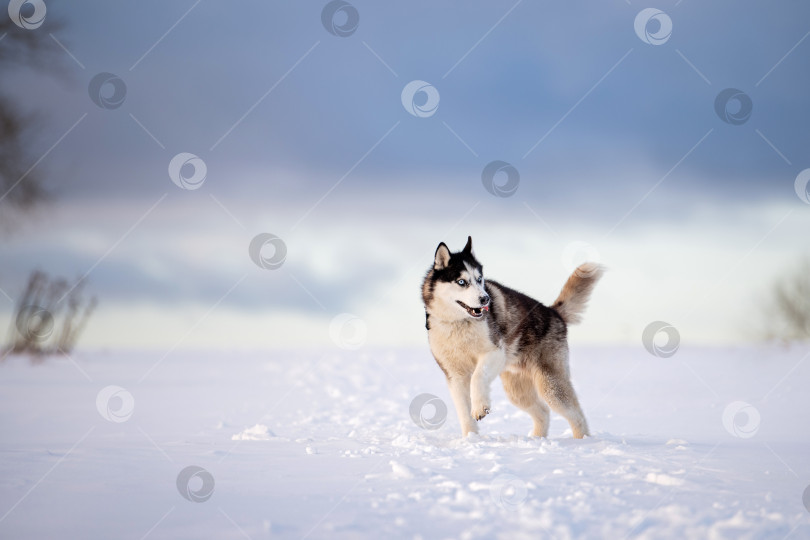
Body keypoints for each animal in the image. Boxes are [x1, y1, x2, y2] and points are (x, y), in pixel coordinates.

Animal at [422, 236, 600, 438]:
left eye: (479, 279)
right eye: (461, 282)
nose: (485, 299)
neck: (459, 323)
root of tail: (554, 312)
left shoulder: (494, 352)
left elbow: (477, 376)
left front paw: (480, 407)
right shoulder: (454, 374)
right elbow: (463, 411)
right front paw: (470, 439)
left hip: (550, 385)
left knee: (576, 415)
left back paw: (582, 440)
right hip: (516, 389)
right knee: (543, 412)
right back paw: (536, 439)